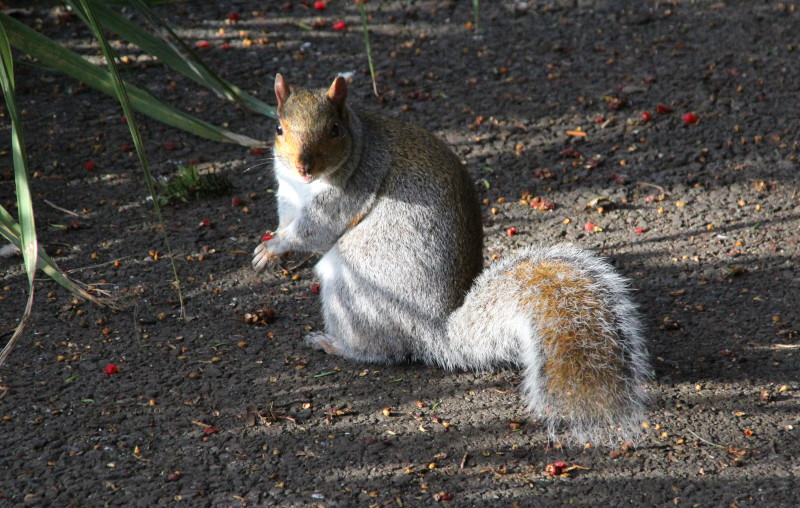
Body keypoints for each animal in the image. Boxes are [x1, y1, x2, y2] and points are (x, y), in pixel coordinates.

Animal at [253, 72, 652, 444]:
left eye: (334, 130)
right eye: (278, 128)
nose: (303, 167)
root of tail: (434, 333)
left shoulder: (350, 190)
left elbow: (315, 231)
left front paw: (273, 249)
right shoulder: (287, 195)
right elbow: (286, 221)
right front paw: (270, 248)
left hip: (352, 288)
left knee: (380, 351)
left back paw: (334, 344)